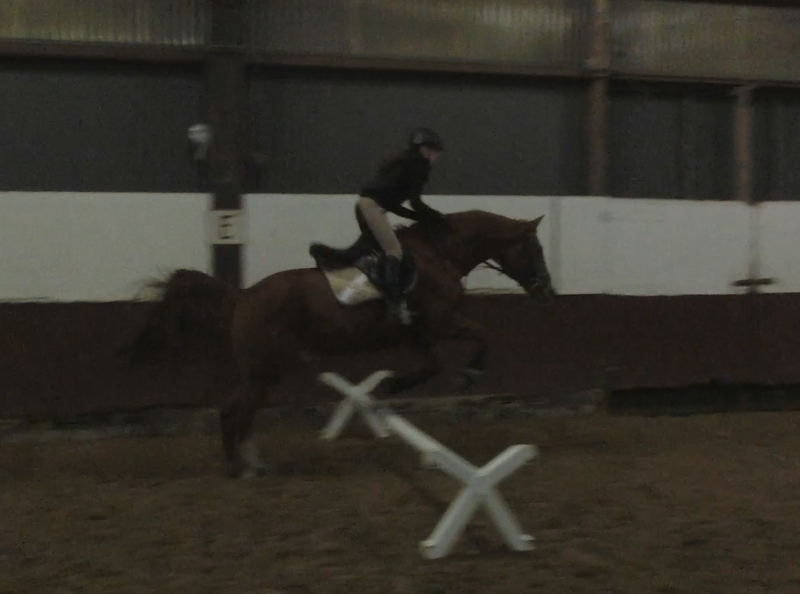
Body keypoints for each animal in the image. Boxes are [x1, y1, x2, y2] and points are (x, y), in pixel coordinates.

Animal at [125, 209, 556, 478]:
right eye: (535, 248)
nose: (547, 292)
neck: (439, 256)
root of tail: (242, 296)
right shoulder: (442, 323)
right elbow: (483, 335)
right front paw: (472, 373)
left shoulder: (418, 334)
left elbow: (431, 364)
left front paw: (393, 385)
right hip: (264, 370)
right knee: (235, 412)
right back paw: (242, 467)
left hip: (264, 372)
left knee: (237, 412)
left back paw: (250, 463)